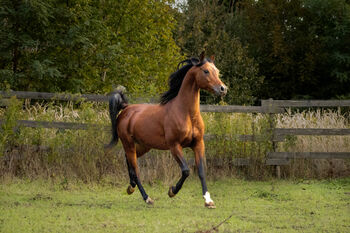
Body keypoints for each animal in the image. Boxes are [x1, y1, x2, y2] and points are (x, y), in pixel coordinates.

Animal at [106, 52, 227, 208]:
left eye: (217, 71)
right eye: (206, 71)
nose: (223, 89)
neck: (186, 113)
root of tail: (126, 108)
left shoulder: (198, 143)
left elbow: (201, 171)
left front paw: (208, 201)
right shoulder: (174, 146)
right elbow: (186, 171)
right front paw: (172, 191)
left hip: (143, 146)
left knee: (129, 162)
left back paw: (130, 187)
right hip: (129, 144)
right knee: (136, 170)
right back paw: (147, 198)